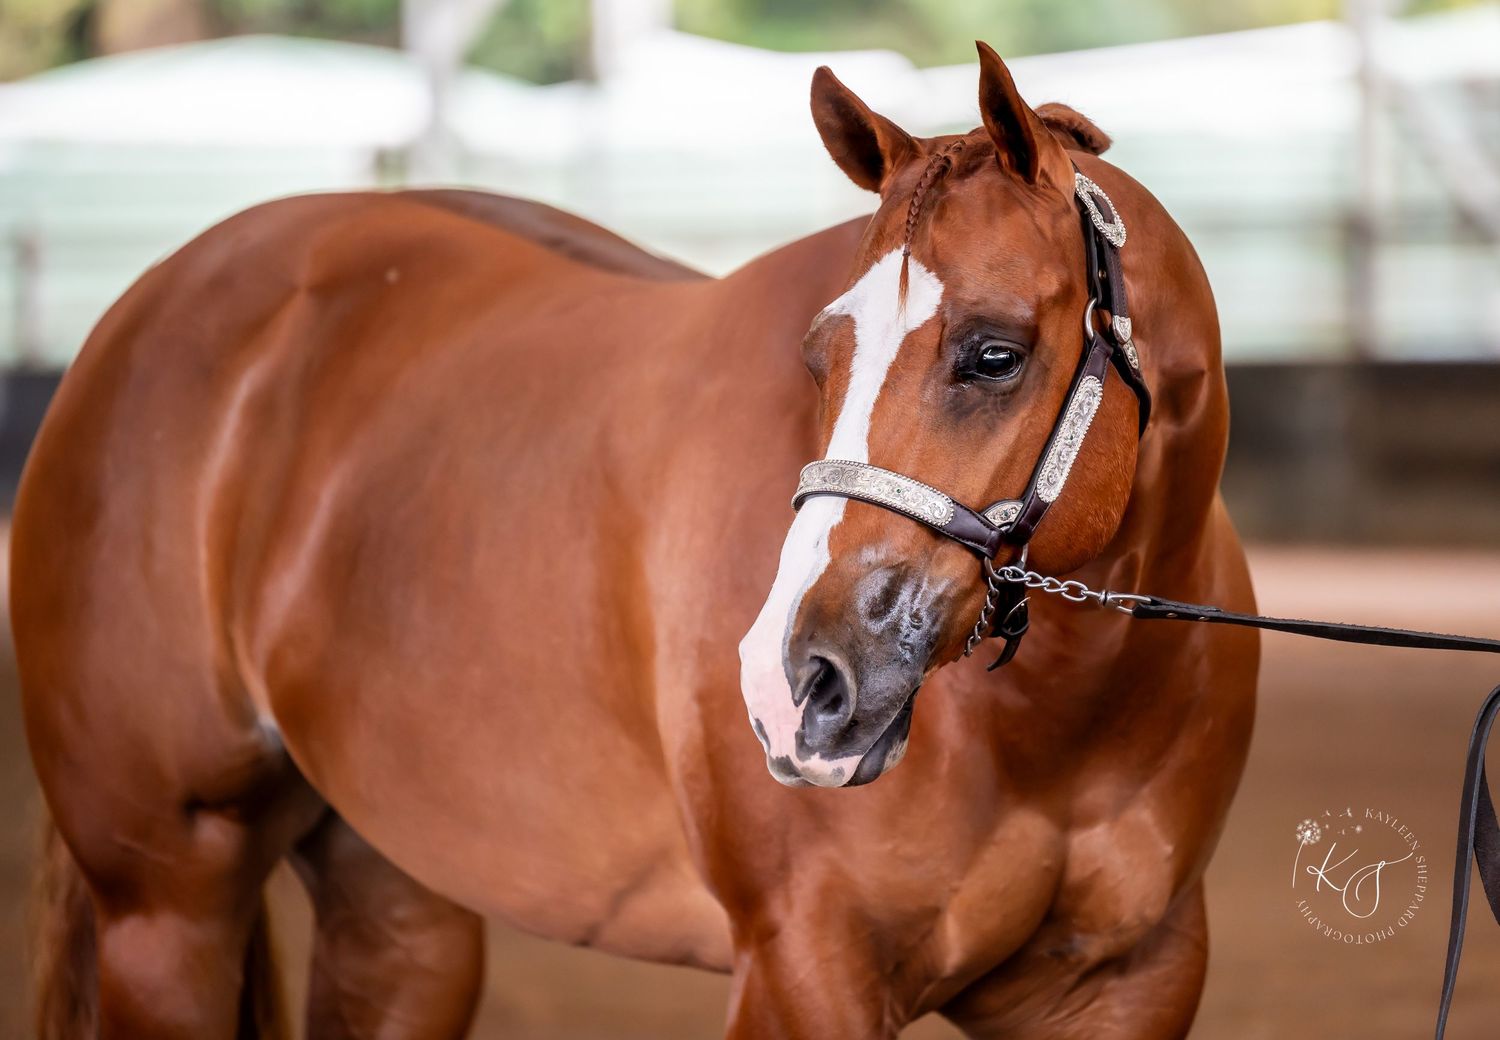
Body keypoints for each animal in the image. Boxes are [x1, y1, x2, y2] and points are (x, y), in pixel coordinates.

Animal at [16, 44, 1257, 1039]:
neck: (1055, 725)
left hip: (399, 905)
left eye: (995, 352)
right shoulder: (803, 971)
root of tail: (147, 310)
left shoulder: (1126, 983)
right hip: (167, 909)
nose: (796, 683)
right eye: (821, 355)